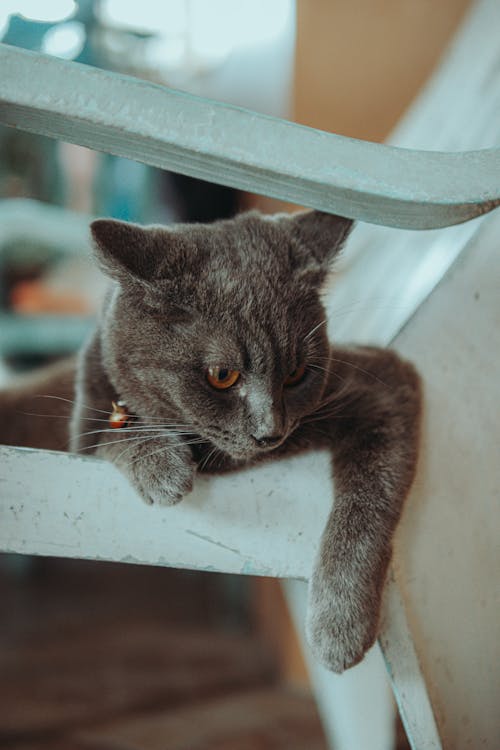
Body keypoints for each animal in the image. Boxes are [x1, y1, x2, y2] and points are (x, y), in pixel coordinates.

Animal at [65, 210, 422, 676]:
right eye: (222, 375)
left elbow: (365, 507)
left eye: (297, 373)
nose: (271, 431)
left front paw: (338, 629)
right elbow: (111, 430)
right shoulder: (84, 428)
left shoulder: (386, 384)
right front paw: (162, 466)